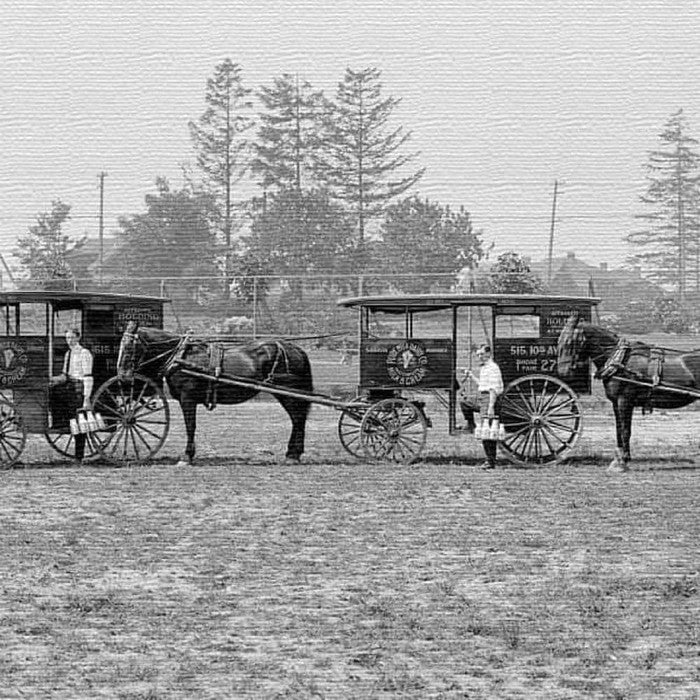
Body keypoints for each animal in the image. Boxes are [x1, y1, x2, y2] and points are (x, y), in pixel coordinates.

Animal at [118, 322, 314, 464]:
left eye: (129, 347)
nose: (122, 376)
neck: (181, 356)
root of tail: (296, 350)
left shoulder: (187, 399)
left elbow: (190, 426)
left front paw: (187, 457)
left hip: (287, 394)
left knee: (297, 419)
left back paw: (292, 455)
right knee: (298, 419)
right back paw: (293, 453)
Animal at [556, 316, 696, 470]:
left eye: (569, 342)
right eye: (559, 341)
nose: (563, 373)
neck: (619, 361)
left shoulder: (625, 401)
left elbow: (625, 430)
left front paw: (623, 461)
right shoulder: (616, 403)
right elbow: (619, 429)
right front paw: (619, 459)